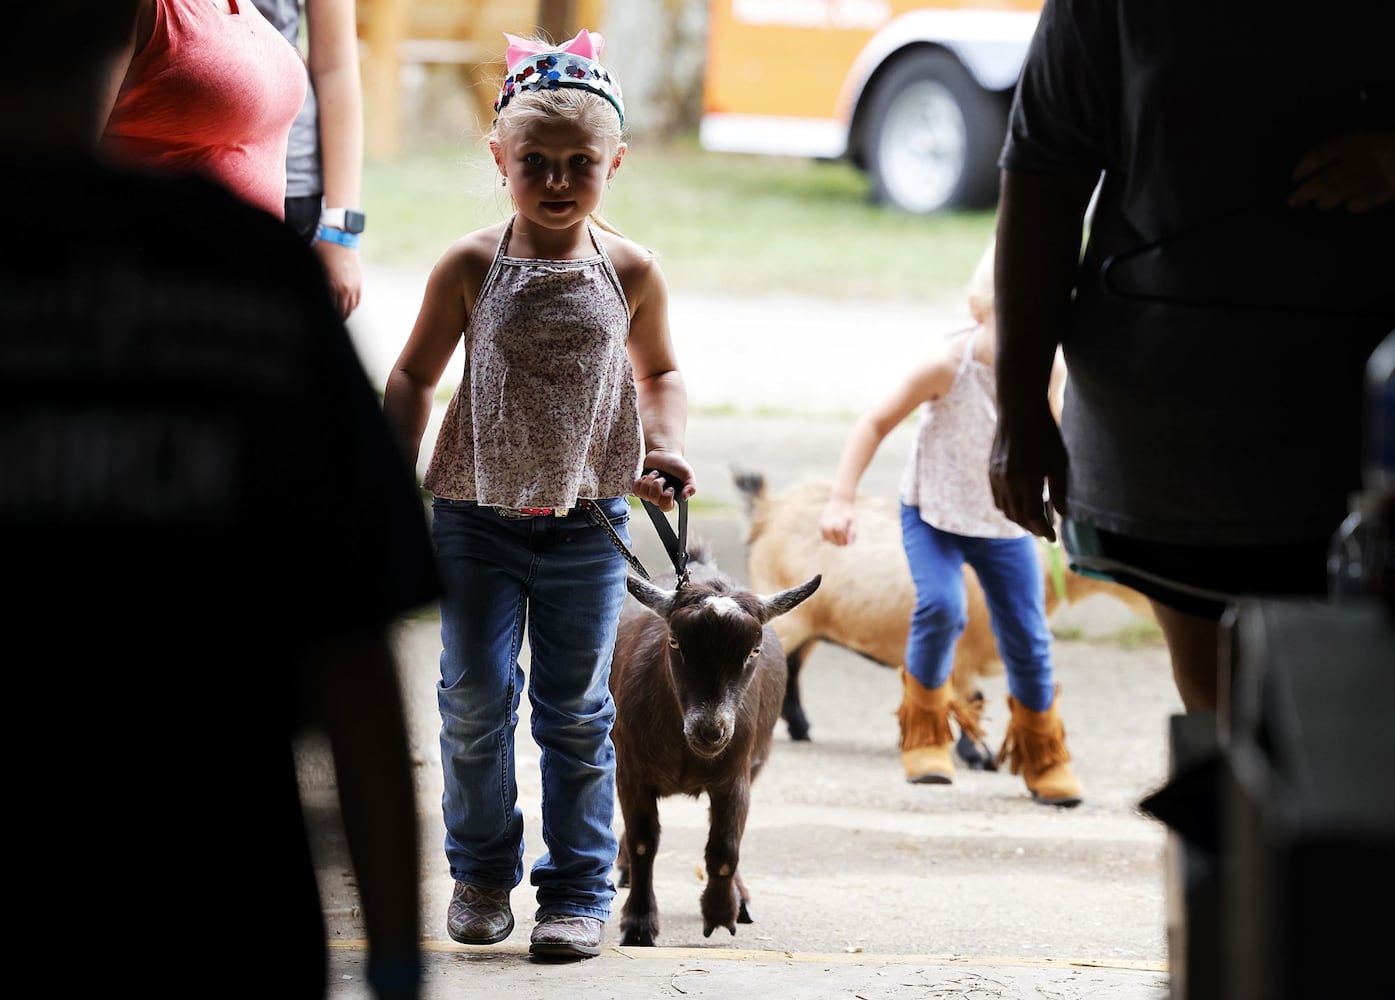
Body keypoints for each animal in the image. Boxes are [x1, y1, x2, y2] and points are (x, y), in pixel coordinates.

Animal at [608, 538, 814, 942]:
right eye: (675, 641)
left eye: (753, 650)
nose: (711, 730)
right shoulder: (631, 772)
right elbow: (643, 842)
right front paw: (639, 924)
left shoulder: (734, 777)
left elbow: (725, 848)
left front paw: (721, 912)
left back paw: (742, 897)